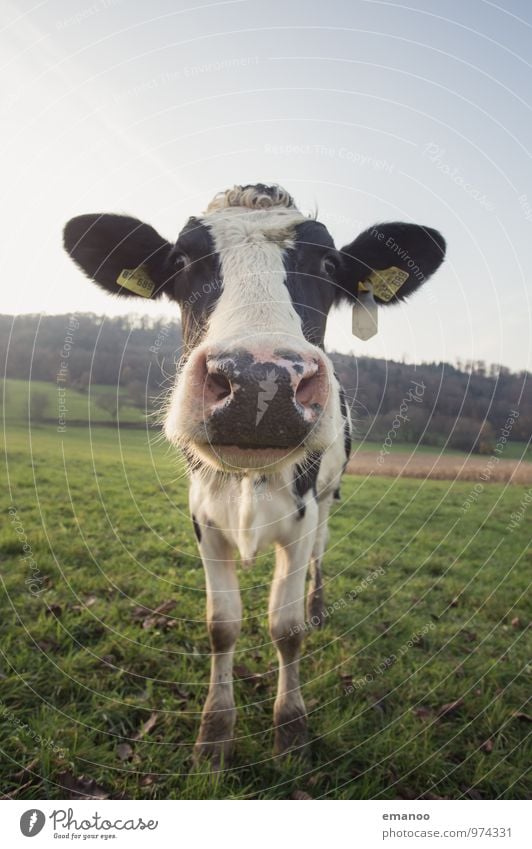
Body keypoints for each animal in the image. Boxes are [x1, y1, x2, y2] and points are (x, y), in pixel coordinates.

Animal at [61, 186, 444, 768]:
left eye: (328, 264)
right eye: (181, 260)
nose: (260, 380)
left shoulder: (302, 518)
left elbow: (285, 628)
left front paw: (291, 728)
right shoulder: (203, 520)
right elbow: (222, 625)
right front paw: (214, 735)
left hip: (329, 497)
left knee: (321, 554)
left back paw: (318, 604)